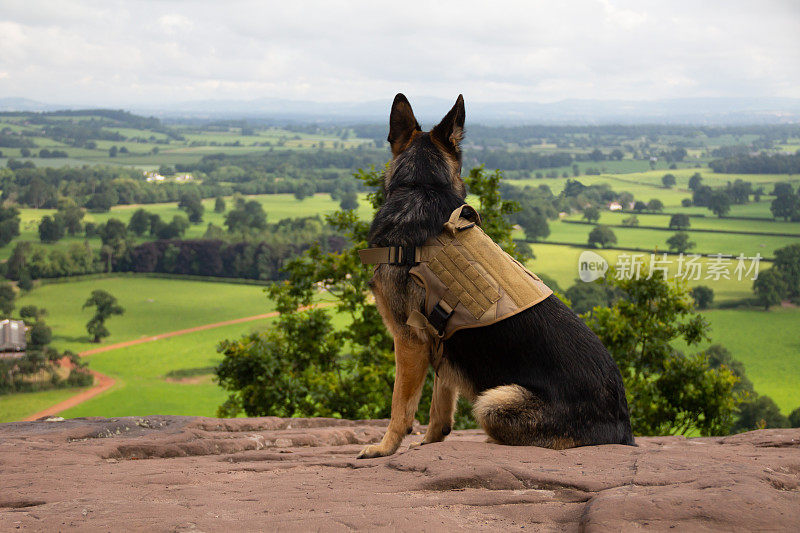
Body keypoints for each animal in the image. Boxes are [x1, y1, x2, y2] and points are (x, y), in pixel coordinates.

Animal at [356, 92, 632, 458]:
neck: (423, 185)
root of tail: (623, 429)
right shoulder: (442, 342)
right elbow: (440, 403)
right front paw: (431, 440)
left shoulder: (408, 340)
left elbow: (400, 405)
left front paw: (384, 447)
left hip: (493, 401)